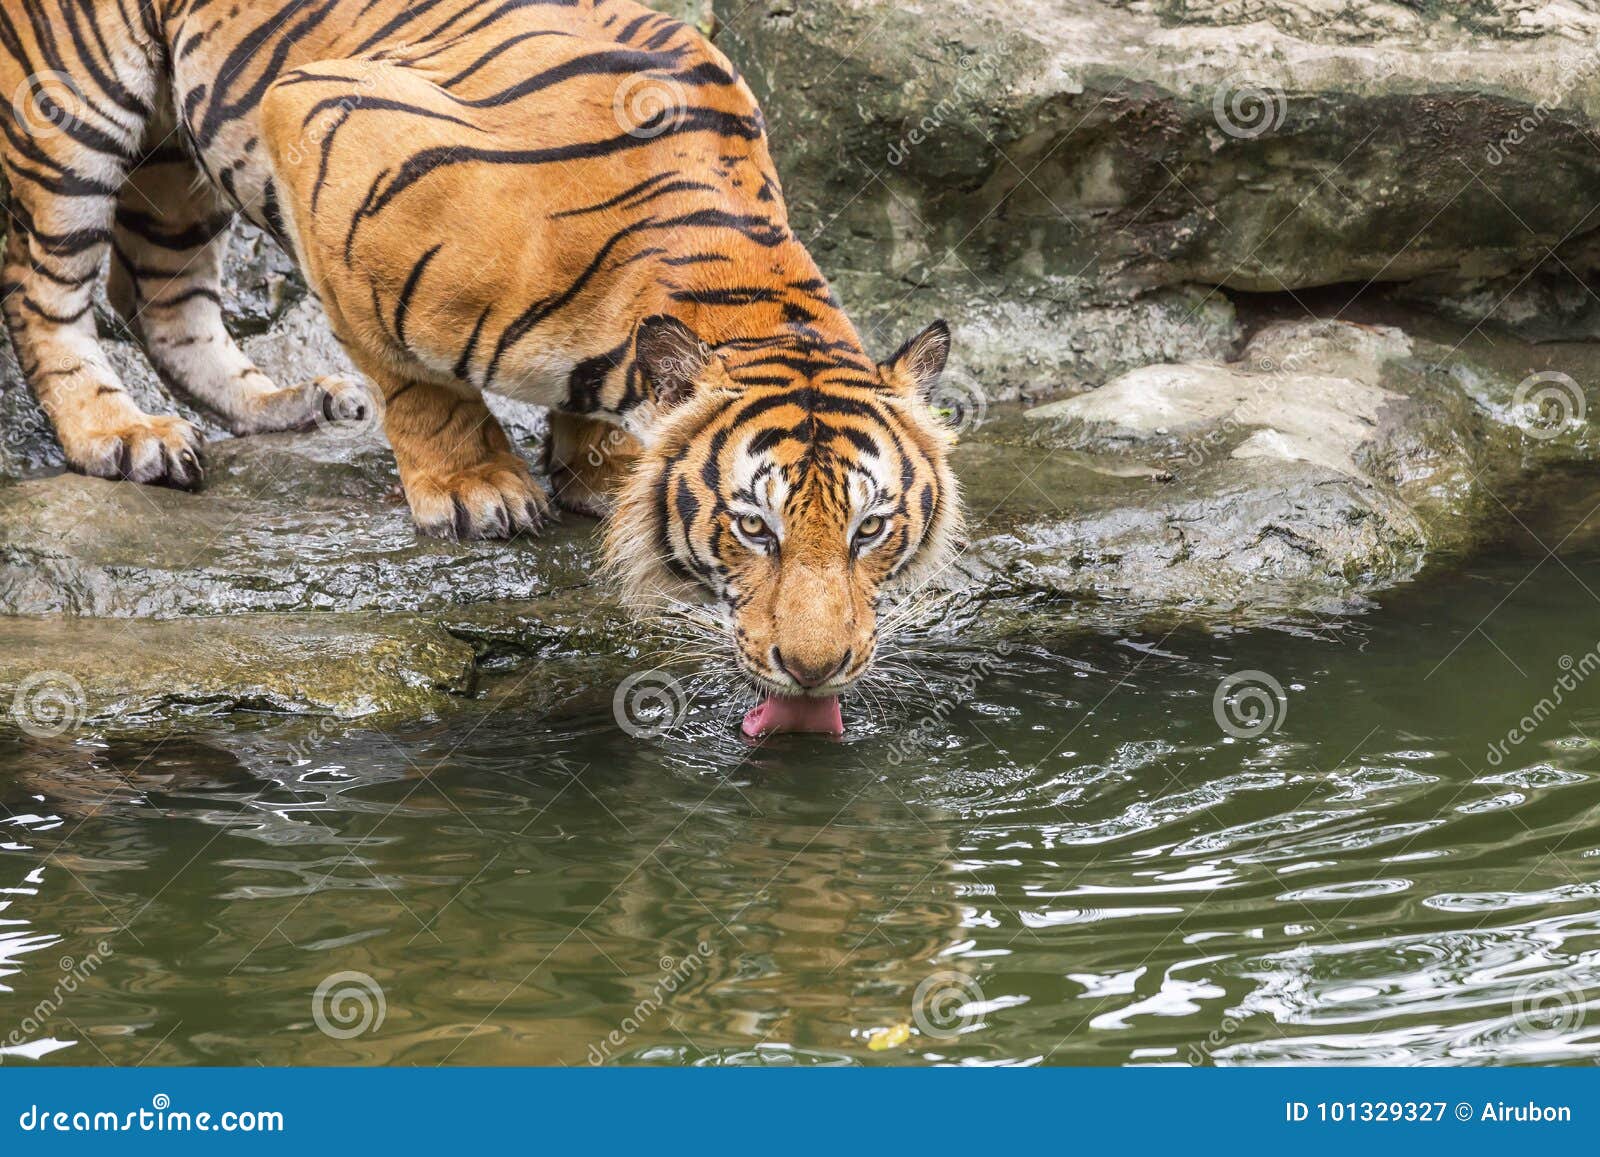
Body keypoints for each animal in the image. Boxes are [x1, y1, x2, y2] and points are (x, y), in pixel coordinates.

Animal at [0, 0, 960, 736]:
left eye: (870, 530)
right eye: (754, 528)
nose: (816, 668)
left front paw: (601, 473)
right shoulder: (319, 120)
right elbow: (418, 382)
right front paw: (477, 488)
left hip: (175, 160)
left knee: (157, 291)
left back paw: (286, 403)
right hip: (73, 105)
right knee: (43, 286)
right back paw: (120, 433)